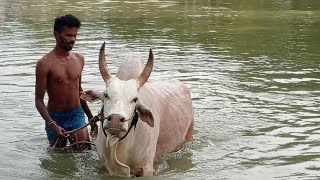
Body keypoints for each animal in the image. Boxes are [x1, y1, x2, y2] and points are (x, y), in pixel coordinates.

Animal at [81, 42, 194, 177]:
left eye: (135, 99)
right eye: (106, 95)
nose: (115, 120)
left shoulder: (146, 167)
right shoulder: (103, 165)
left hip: (190, 131)